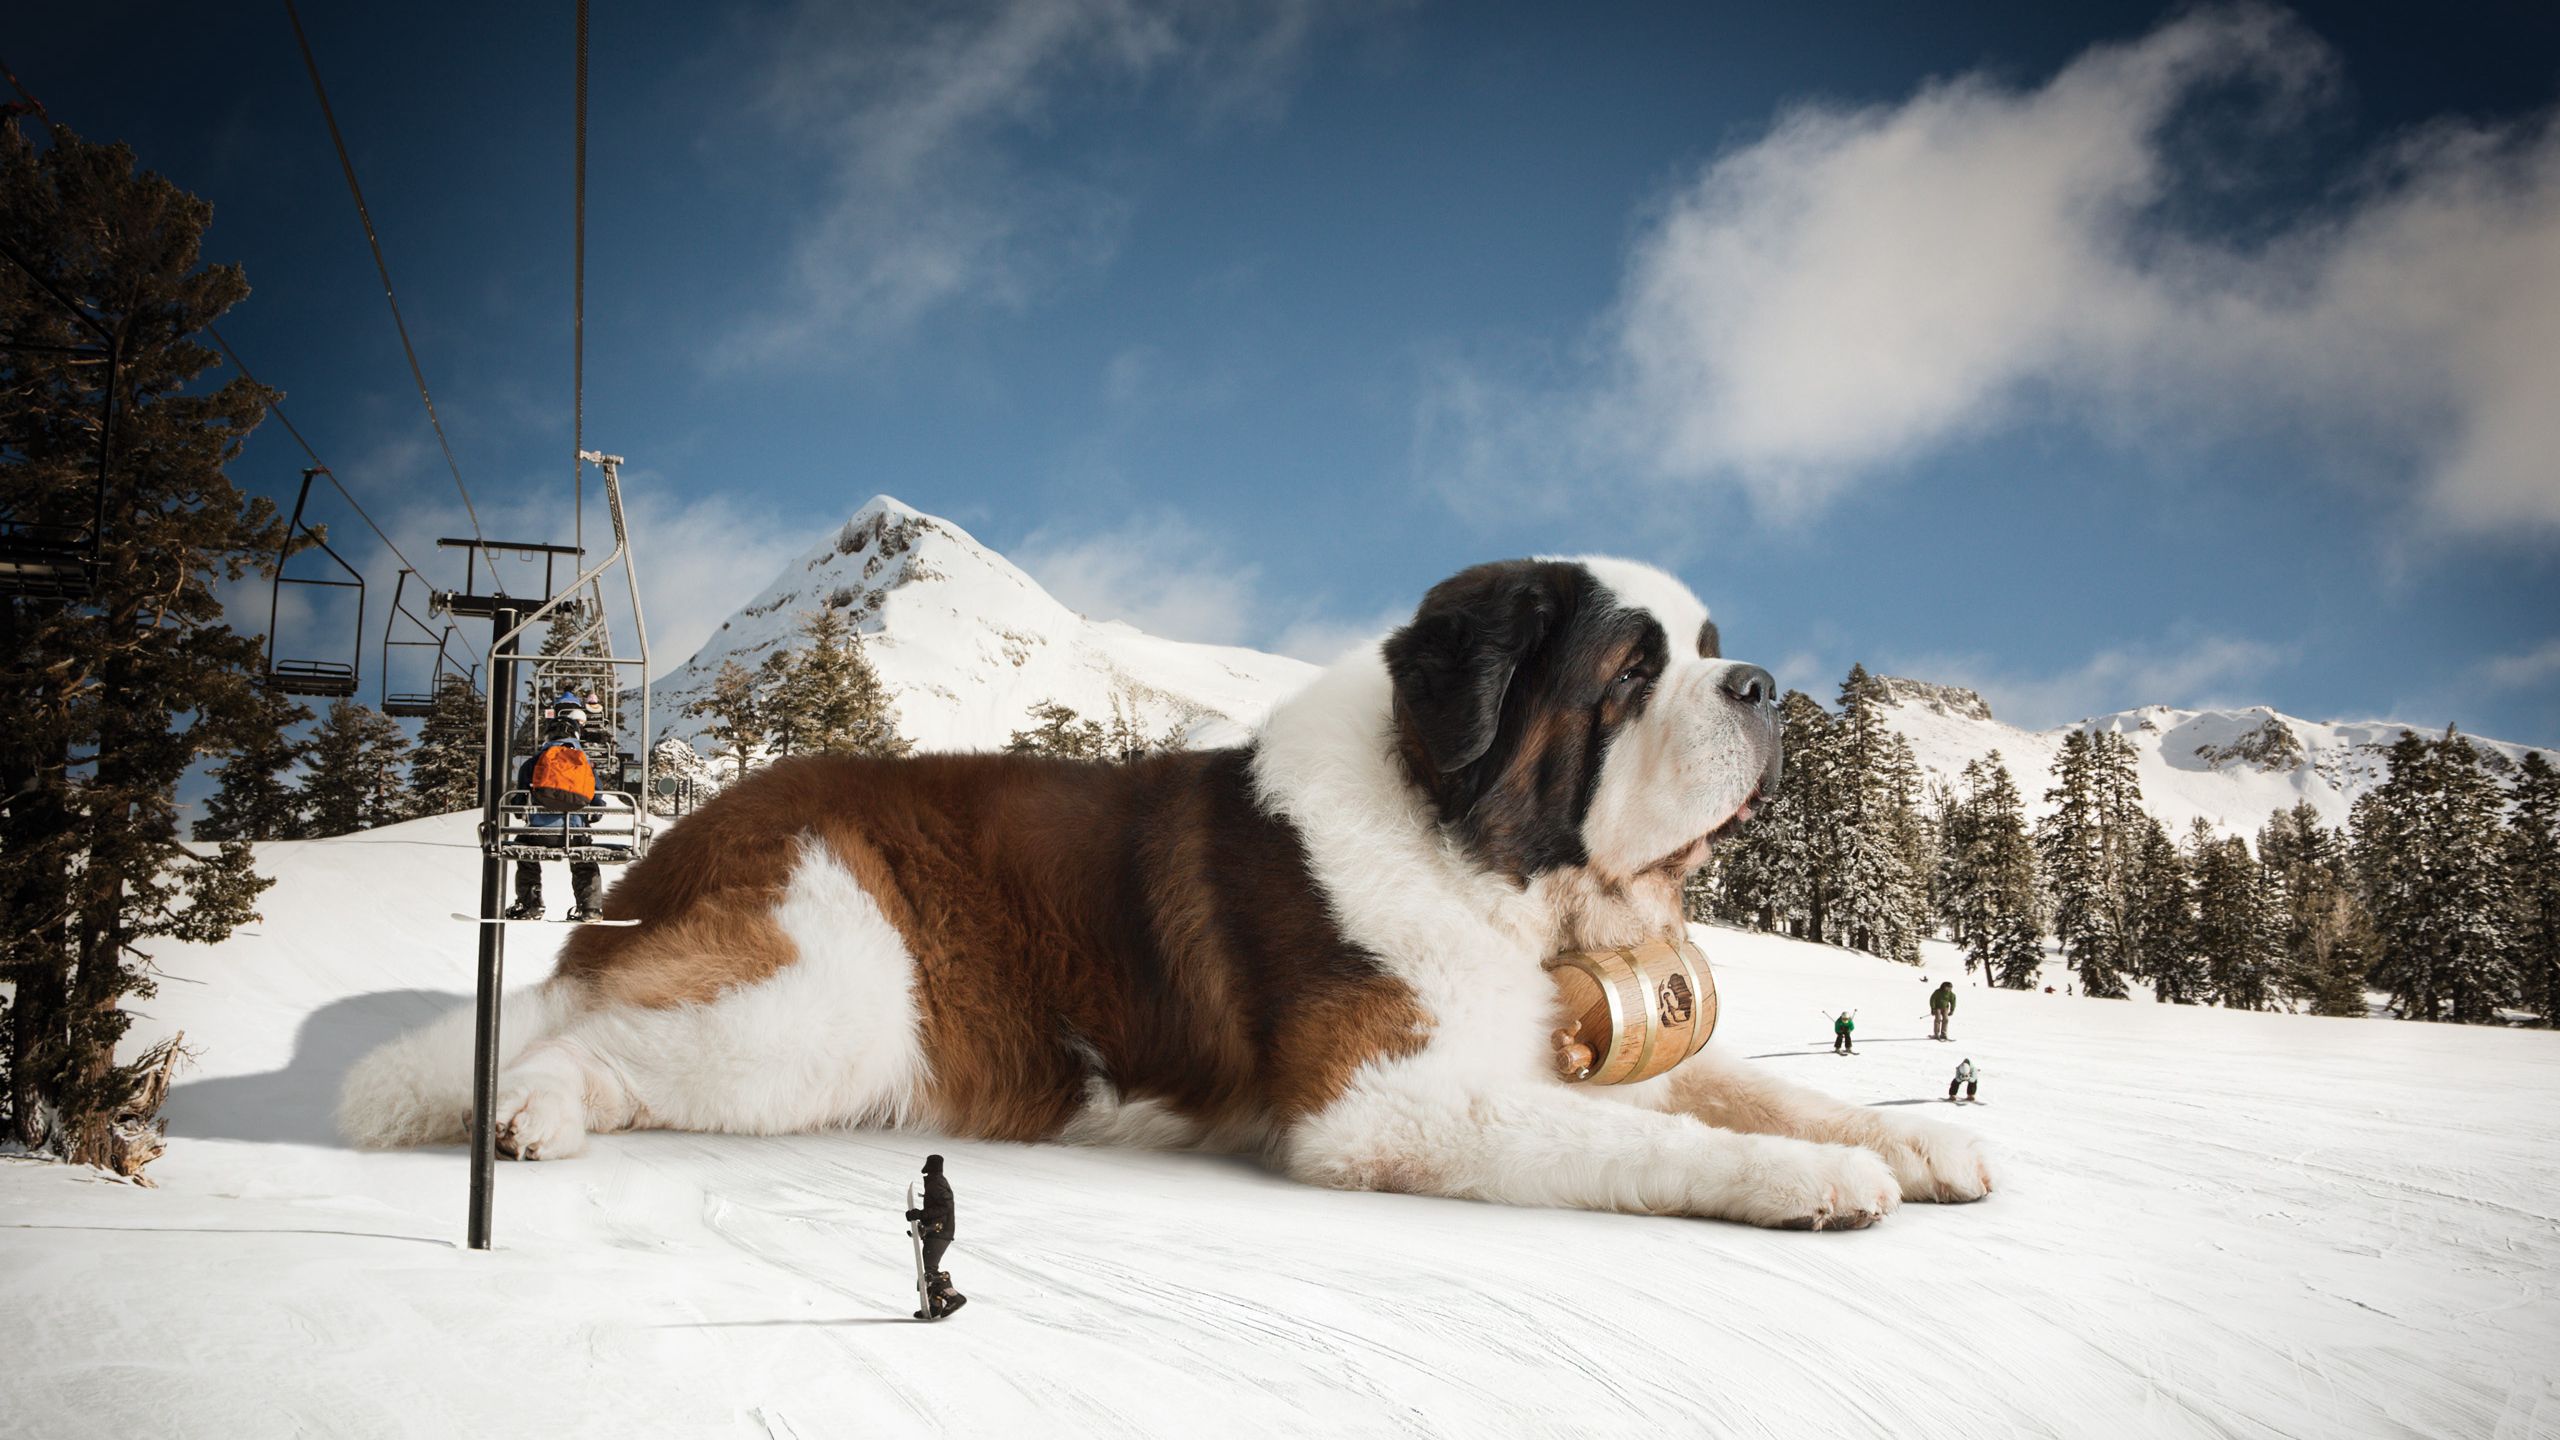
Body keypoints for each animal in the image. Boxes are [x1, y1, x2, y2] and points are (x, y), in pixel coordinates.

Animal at [340, 556, 1986, 1229]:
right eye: (1633, 670)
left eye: (1708, 647)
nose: (1761, 687)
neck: (1474, 850)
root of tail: (697, 827)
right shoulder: (1385, 1108)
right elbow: (1646, 1139)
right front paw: (1814, 1183)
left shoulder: (1567, 1042)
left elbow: (1754, 1087)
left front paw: (1914, 1146)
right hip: (826, 996)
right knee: (579, 1038)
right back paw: (525, 1111)